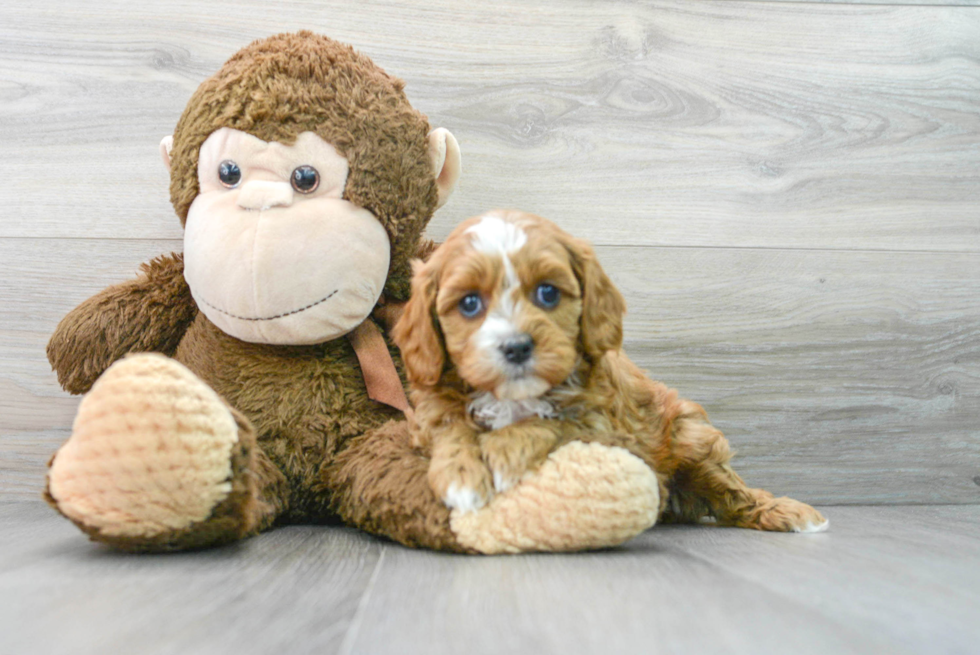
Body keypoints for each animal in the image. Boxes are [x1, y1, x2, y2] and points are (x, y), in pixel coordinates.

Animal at [390, 210, 828, 532]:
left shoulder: (607, 428)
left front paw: (501, 450)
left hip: (691, 436)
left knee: (732, 492)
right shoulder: (429, 414)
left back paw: (786, 513)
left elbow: (552, 424)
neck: (515, 399)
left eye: (548, 293)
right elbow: (451, 430)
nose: (516, 347)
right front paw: (461, 473)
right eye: (469, 303)